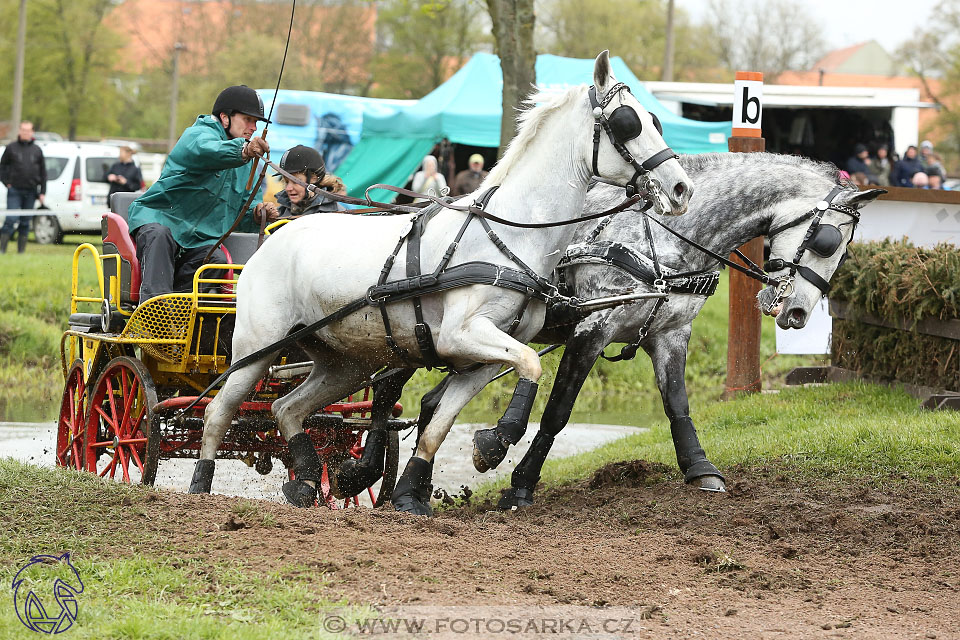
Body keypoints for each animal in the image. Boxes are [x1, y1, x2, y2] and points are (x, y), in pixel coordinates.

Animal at [189, 51, 696, 516]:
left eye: (654, 119)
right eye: (628, 123)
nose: (681, 188)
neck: (510, 234)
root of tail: (273, 238)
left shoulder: (481, 357)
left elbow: (441, 424)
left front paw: (412, 494)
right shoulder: (462, 334)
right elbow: (531, 365)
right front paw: (495, 442)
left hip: (344, 363)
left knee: (287, 409)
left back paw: (308, 480)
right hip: (258, 349)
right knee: (217, 411)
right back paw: (200, 485)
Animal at [412, 152, 884, 508]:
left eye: (844, 251)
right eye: (826, 240)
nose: (799, 313)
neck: (667, 237)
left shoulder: (672, 334)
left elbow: (677, 404)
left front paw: (700, 468)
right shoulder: (593, 329)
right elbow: (558, 411)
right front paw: (522, 485)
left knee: (434, 402)